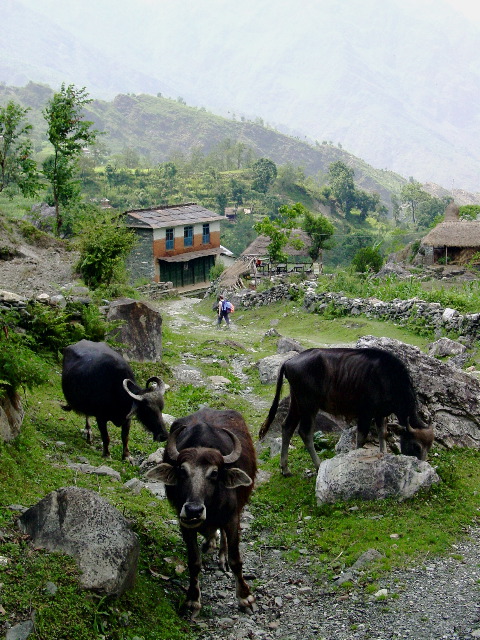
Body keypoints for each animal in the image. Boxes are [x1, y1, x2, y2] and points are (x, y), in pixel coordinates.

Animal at [146, 410, 256, 616]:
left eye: (214, 473)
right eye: (182, 471)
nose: (193, 510)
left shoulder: (232, 518)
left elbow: (236, 559)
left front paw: (245, 597)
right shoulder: (184, 523)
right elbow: (194, 562)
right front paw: (192, 599)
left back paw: (221, 555)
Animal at [258, 344, 436, 476]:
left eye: (429, 447)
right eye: (416, 446)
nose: (421, 466)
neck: (388, 378)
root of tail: (289, 361)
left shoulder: (380, 414)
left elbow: (382, 433)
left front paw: (384, 454)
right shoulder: (365, 413)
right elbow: (361, 439)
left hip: (296, 401)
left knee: (287, 426)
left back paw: (285, 469)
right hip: (309, 405)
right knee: (305, 432)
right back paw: (318, 465)